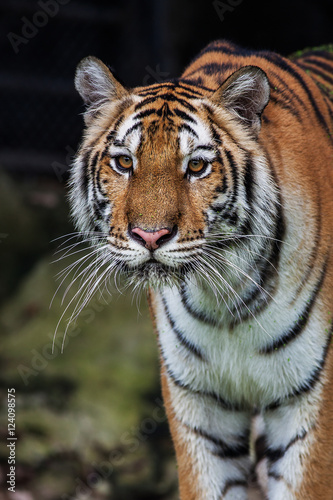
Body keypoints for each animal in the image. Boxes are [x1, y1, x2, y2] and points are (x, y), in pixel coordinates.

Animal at [68, 40, 332, 500]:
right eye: (124, 163)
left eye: (195, 166)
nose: (150, 235)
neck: (226, 297)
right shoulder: (198, 406)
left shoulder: (309, 405)